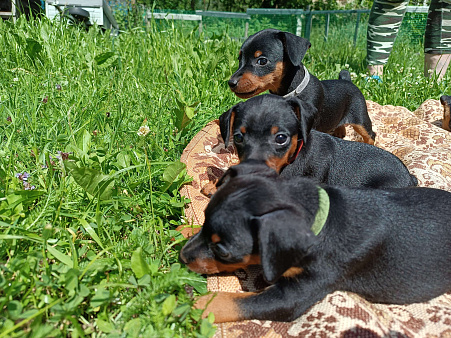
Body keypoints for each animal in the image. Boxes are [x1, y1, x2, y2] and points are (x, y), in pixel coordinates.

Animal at [228, 28, 376, 143]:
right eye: (239, 59)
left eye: (262, 61)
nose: (231, 83)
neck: (292, 92)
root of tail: (347, 80)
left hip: (360, 118)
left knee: (370, 135)